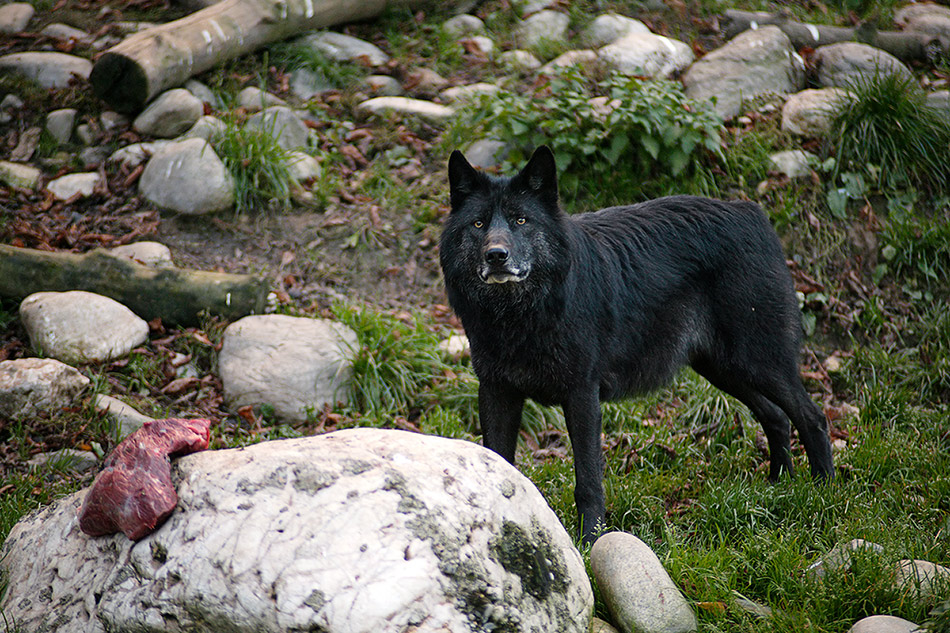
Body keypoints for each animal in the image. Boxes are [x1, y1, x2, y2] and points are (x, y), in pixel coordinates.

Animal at [438, 144, 832, 544]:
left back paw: (822, 492)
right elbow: (496, 460)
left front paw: (590, 541)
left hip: (758, 363)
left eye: (520, 220)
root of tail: (753, 213)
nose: (496, 255)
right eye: (478, 224)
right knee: (777, 416)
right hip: (725, 369)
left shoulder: (582, 395)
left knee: (812, 416)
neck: (518, 317)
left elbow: (588, 481)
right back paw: (777, 486)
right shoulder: (496, 392)